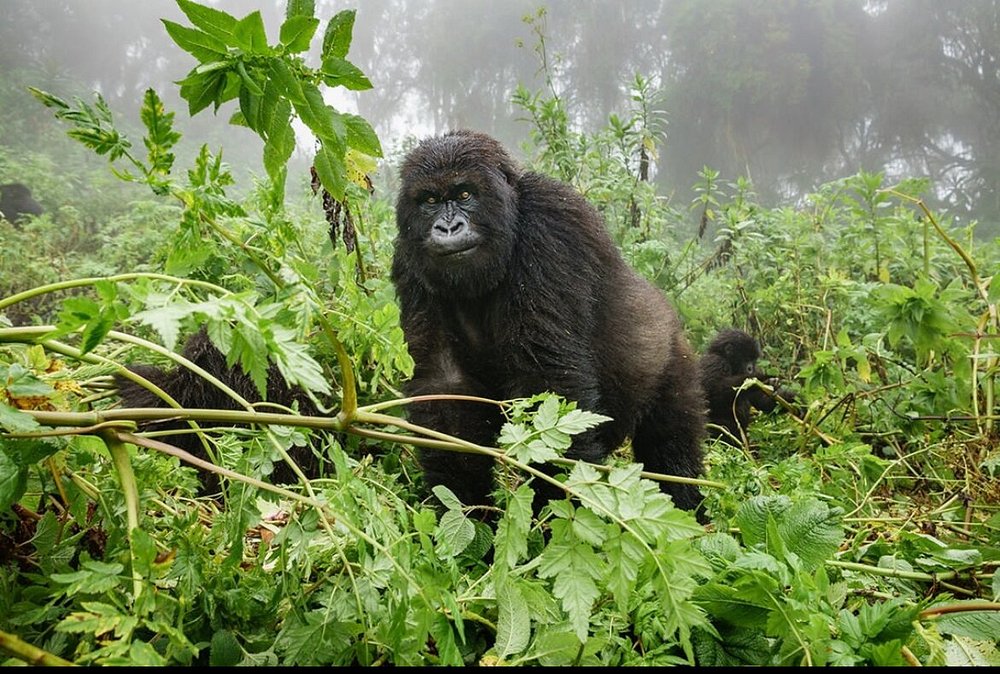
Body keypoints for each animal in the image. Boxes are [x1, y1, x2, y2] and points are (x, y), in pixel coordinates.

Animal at [391, 130, 706, 514]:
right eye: (430, 200)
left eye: (464, 194)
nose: (448, 227)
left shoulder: (551, 226)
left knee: (671, 447)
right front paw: (465, 508)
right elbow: (445, 382)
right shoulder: (409, 258)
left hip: (676, 361)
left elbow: (549, 383)